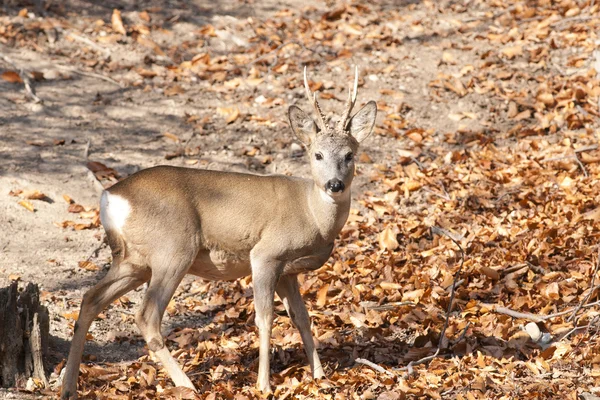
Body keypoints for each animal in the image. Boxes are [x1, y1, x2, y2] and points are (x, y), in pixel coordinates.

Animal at [59, 66, 376, 396]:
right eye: (317, 155)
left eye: (350, 155)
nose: (334, 184)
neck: (311, 215)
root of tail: (110, 196)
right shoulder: (266, 254)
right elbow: (265, 318)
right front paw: (264, 385)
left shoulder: (288, 271)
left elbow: (302, 318)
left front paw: (320, 376)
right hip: (172, 249)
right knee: (146, 315)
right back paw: (187, 385)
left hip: (133, 260)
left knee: (90, 299)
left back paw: (68, 386)